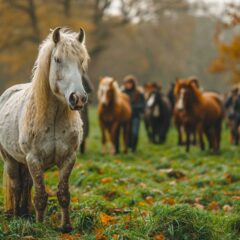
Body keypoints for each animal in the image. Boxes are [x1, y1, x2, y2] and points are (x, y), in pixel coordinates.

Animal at [0, 27, 89, 232]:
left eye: (81, 61)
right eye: (57, 59)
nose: (78, 98)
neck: (54, 118)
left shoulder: (68, 158)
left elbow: (63, 194)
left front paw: (66, 227)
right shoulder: (34, 159)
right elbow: (40, 196)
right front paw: (40, 227)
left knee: (26, 185)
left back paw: (25, 213)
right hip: (10, 160)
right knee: (17, 186)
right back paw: (16, 215)